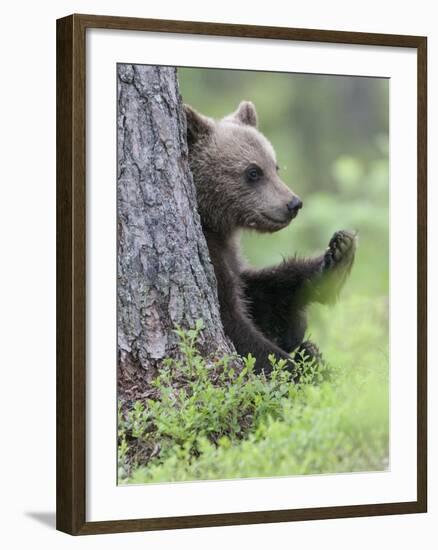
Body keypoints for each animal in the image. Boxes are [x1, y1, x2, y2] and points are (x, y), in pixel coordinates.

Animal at [184, 100, 356, 376]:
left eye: (275, 167)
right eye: (253, 172)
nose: (293, 203)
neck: (213, 222)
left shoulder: (232, 255)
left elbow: (262, 295)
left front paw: (337, 255)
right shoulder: (211, 254)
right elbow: (237, 328)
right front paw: (302, 371)